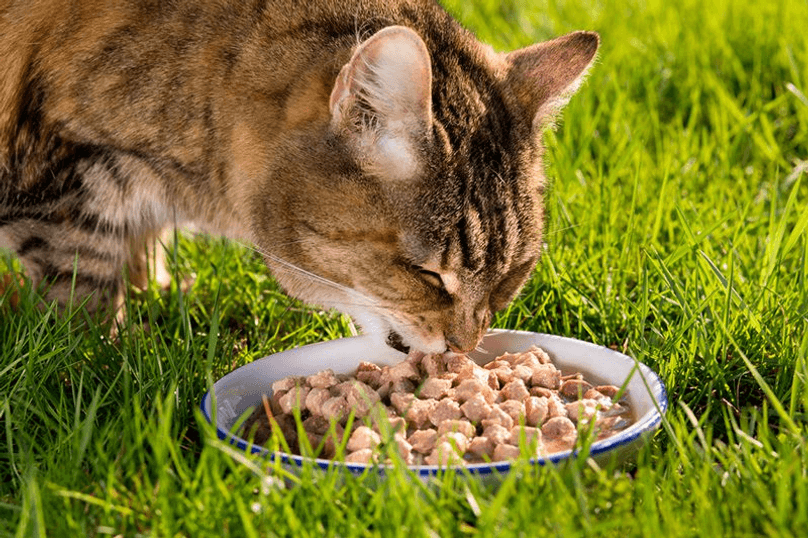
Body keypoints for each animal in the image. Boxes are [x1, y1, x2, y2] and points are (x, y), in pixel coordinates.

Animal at [0, 0, 592, 354]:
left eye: (512, 276)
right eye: (427, 276)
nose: (465, 347)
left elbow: (143, 243)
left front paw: (156, 292)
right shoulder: (65, 180)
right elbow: (85, 286)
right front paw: (110, 355)